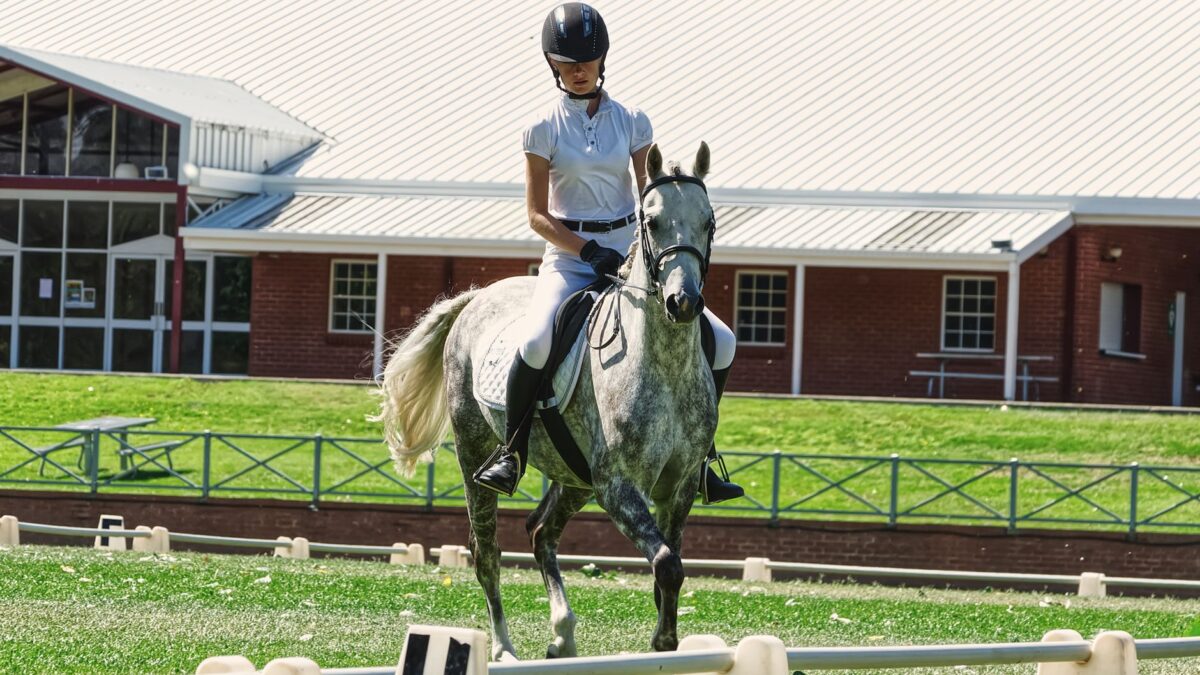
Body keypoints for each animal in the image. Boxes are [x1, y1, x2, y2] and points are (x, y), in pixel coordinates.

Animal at [376, 142, 720, 661]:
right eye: (652, 221)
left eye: (708, 221)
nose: (683, 303)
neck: (664, 364)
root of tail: (477, 298)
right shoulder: (617, 487)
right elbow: (666, 564)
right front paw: (662, 643)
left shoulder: (677, 488)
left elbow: (672, 568)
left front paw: (667, 644)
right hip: (476, 454)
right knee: (487, 553)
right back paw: (503, 648)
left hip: (574, 475)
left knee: (542, 532)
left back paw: (562, 634)